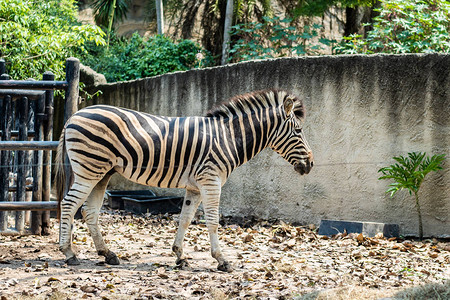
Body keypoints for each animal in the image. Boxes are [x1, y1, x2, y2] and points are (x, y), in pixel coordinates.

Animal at [55, 89, 312, 272]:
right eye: (298, 131)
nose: (310, 164)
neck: (228, 137)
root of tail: (73, 116)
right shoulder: (211, 181)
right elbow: (213, 222)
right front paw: (221, 260)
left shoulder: (195, 187)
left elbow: (185, 219)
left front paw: (179, 255)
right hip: (90, 168)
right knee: (69, 204)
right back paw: (69, 253)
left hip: (102, 172)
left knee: (89, 211)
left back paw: (107, 254)